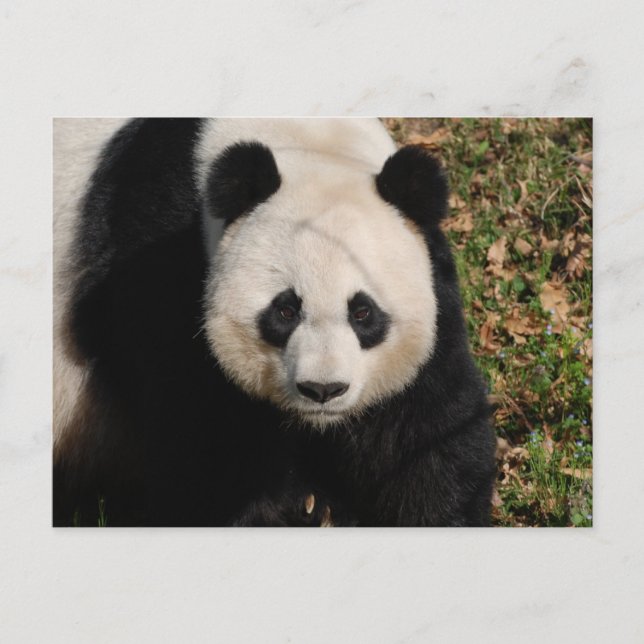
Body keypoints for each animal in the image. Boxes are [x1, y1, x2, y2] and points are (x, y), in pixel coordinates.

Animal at [53, 118, 496, 527]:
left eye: (362, 312)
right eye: (285, 310)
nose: (322, 390)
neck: (309, 142)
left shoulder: (432, 278)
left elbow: (425, 433)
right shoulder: (159, 268)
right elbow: (203, 450)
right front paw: (294, 509)